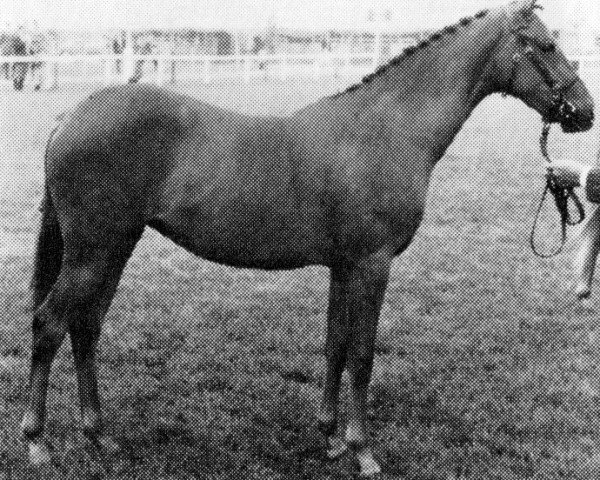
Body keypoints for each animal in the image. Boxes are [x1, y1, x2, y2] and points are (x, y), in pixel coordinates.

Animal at [19, 1, 596, 476]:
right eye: (544, 44)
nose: (584, 111)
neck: (385, 130)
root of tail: (72, 115)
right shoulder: (371, 264)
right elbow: (362, 353)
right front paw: (363, 451)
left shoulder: (345, 266)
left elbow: (335, 344)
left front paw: (331, 438)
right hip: (94, 252)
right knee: (49, 324)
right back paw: (37, 444)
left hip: (113, 247)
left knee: (85, 326)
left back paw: (97, 436)